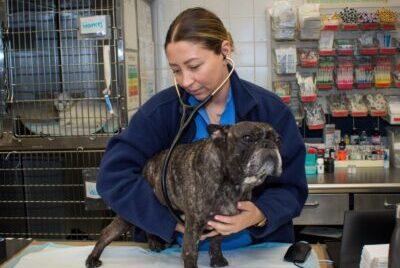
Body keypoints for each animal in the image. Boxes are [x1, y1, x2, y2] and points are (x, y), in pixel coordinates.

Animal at [86, 121, 282, 268]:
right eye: (247, 138)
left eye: (278, 140)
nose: (269, 145)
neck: (233, 183)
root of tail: (147, 165)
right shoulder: (194, 224)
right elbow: (190, 252)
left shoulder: (222, 221)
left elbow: (216, 242)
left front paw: (217, 259)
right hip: (129, 215)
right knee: (108, 232)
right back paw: (93, 258)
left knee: (149, 225)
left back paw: (154, 243)